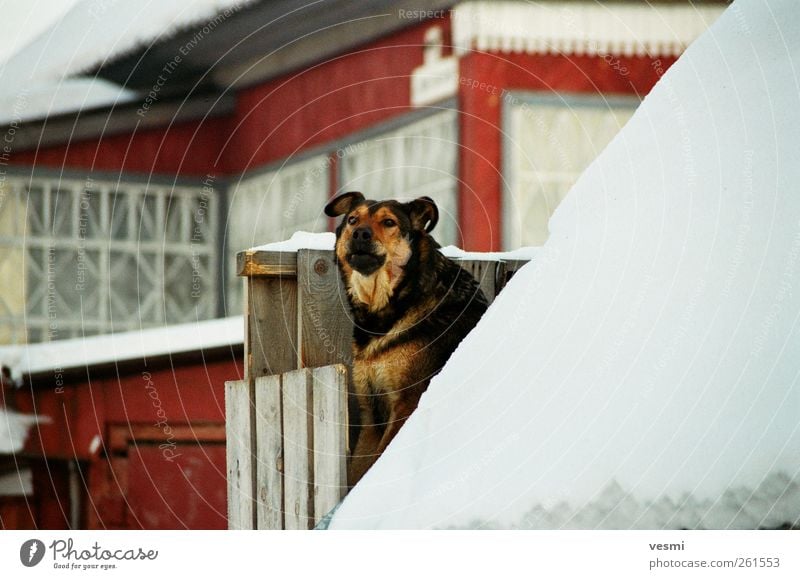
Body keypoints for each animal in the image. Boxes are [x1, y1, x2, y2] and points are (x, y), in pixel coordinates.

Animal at [324, 193, 488, 488]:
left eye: (389, 222)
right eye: (353, 219)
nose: (360, 233)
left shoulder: (406, 402)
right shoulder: (371, 414)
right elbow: (359, 470)